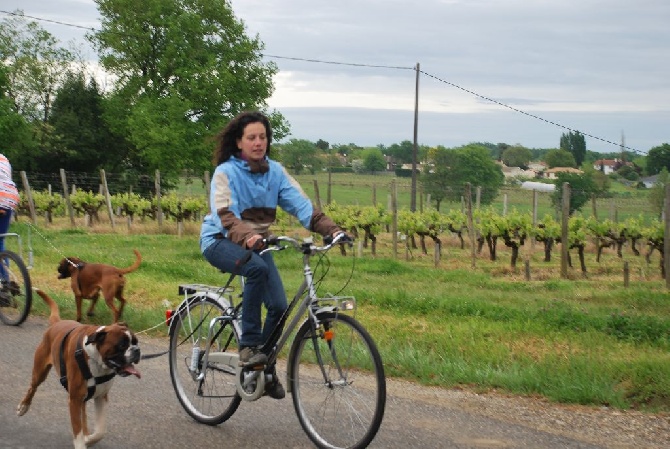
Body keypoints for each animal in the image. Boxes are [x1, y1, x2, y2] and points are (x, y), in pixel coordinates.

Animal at [17, 288, 141, 446]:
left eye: (136, 342)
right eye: (122, 345)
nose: (137, 350)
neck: (96, 359)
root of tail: (57, 323)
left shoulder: (101, 397)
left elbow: (100, 431)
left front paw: (89, 438)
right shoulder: (74, 400)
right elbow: (78, 432)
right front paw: (82, 442)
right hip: (40, 372)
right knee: (32, 388)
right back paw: (23, 407)